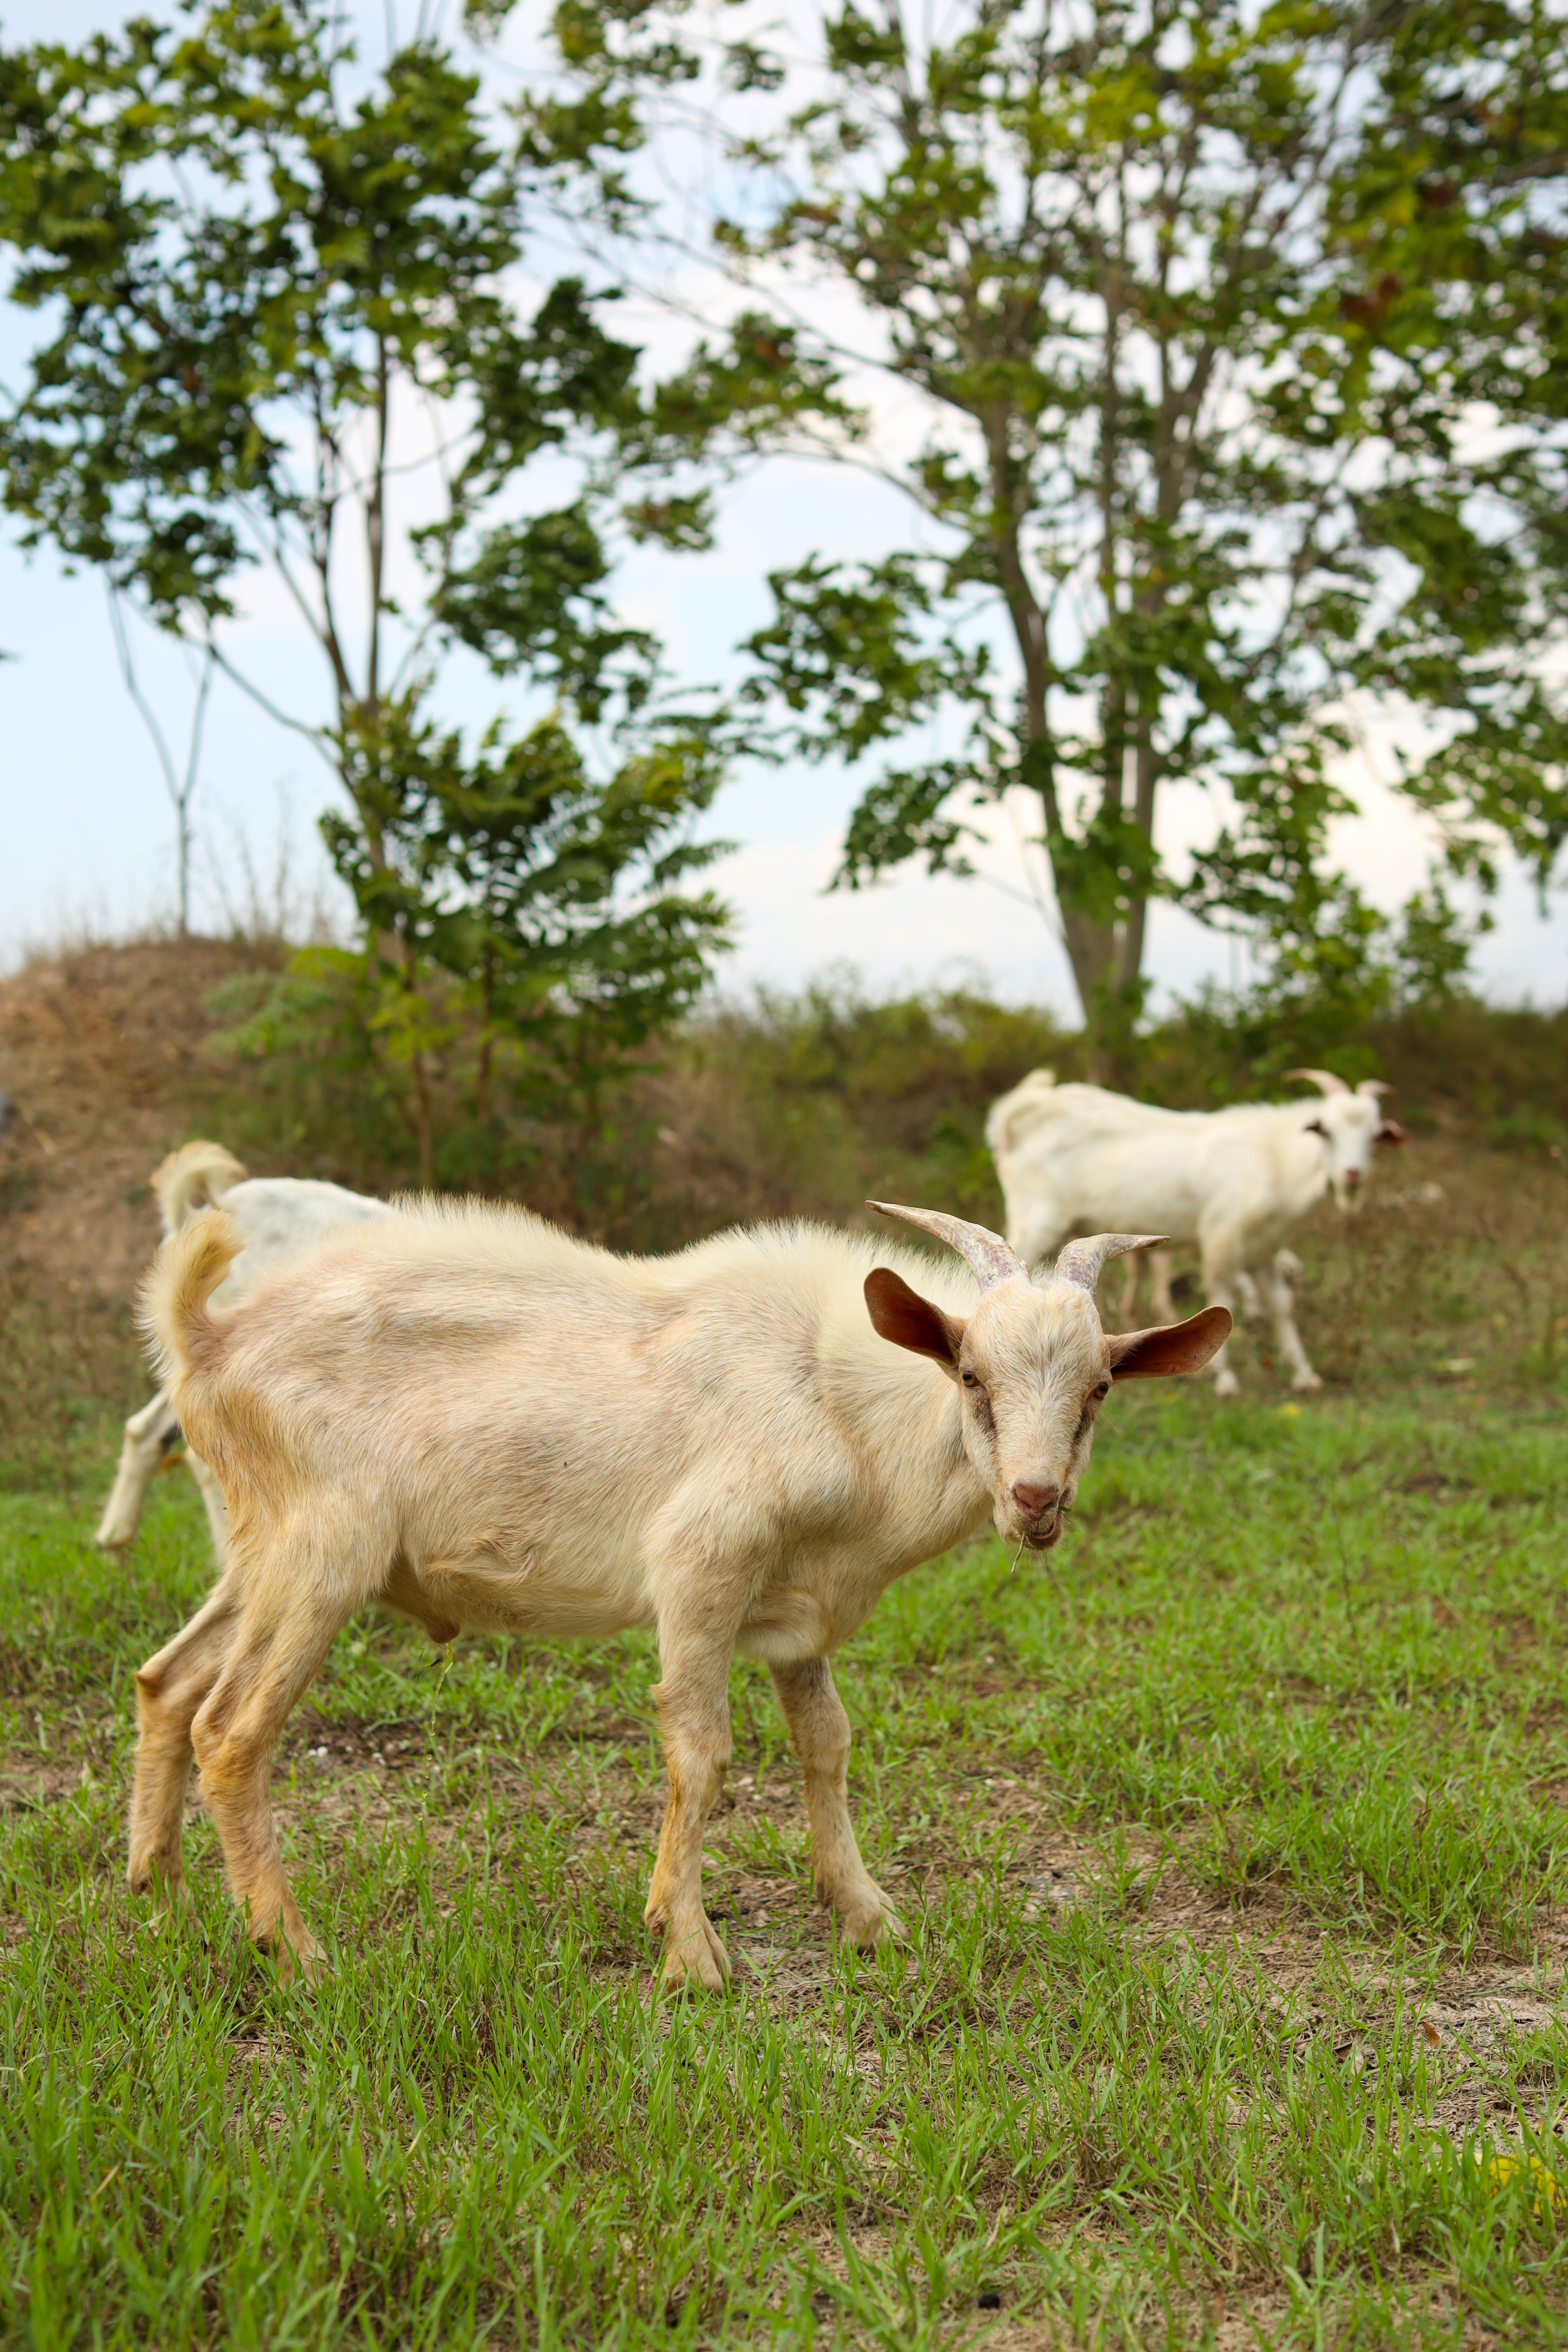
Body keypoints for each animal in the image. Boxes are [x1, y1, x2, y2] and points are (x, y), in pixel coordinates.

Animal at [130, 1199, 1229, 1986]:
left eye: (1098, 1389)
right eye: (969, 1374)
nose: (1037, 1499)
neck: (837, 1405)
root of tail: (208, 1339)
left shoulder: (797, 1618)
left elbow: (827, 1745)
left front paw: (870, 1917)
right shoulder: (704, 1565)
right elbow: (701, 1752)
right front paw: (689, 1950)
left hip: (258, 1553)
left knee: (167, 1680)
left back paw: (163, 1895)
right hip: (325, 1552)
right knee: (232, 1727)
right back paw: (293, 1950)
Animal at [985, 1069, 1407, 1398]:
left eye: (1374, 1136)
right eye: (1326, 1132)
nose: (1352, 1174)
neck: (1272, 1159)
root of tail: (1023, 1113)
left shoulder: (1264, 1252)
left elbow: (1281, 1306)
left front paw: (1304, 1374)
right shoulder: (1223, 1238)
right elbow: (1223, 1300)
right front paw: (1225, 1380)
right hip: (1036, 1220)